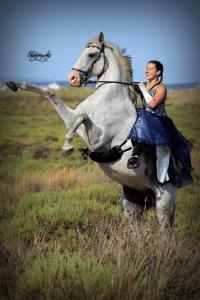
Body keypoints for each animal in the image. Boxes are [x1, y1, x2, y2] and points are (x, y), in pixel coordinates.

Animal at [6, 32, 176, 229]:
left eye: (92, 54)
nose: (72, 78)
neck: (108, 99)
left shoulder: (98, 141)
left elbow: (83, 117)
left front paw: (67, 147)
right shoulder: (71, 119)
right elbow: (53, 96)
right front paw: (14, 84)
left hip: (164, 201)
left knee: (165, 229)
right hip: (132, 199)